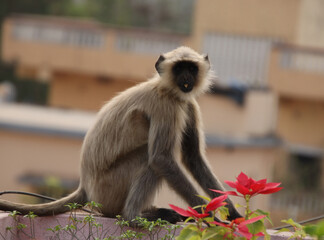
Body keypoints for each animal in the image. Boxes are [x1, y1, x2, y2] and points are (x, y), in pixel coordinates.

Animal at [0, 46, 242, 223]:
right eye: (178, 68)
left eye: (191, 68)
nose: (185, 77)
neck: (168, 90)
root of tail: (86, 187)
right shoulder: (167, 106)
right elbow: (161, 159)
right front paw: (208, 216)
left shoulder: (188, 104)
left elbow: (193, 158)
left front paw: (233, 214)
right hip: (109, 189)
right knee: (149, 158)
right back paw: (133, 216)